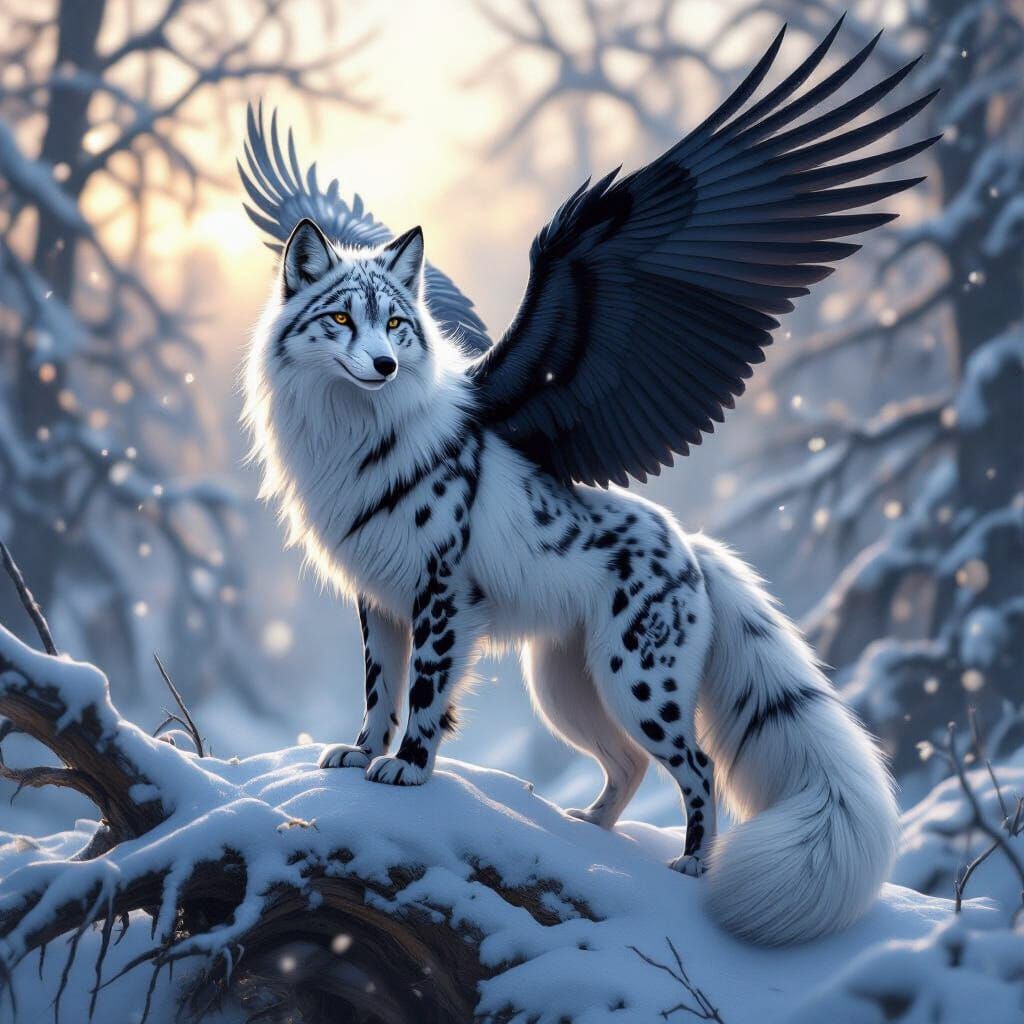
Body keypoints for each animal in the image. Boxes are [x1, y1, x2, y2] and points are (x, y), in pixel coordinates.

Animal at [242, 22, 937, 945]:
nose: (385, 364)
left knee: (697, 765)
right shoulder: (378, 596)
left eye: (395, 323)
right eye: (341, 319)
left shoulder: (438, 594)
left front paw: (407, 772)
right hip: (569, 688)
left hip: (634, 682)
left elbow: (424, 697)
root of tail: (693, 547)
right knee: (630, 767)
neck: (356, 442)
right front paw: (360, 754)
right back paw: (590, 835)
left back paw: (690, 867)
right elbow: (379, 690)